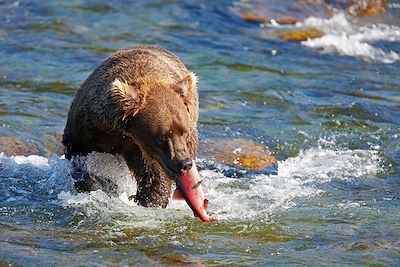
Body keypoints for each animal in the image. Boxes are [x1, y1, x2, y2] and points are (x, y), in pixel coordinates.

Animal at [62, 45, 198, 209]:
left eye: (184, 132)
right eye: (163, 136)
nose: (184, 163)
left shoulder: (142, 149)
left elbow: (153, 175)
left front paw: (148, 199)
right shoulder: (88, 127)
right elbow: (78, 157)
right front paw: (98, 184)